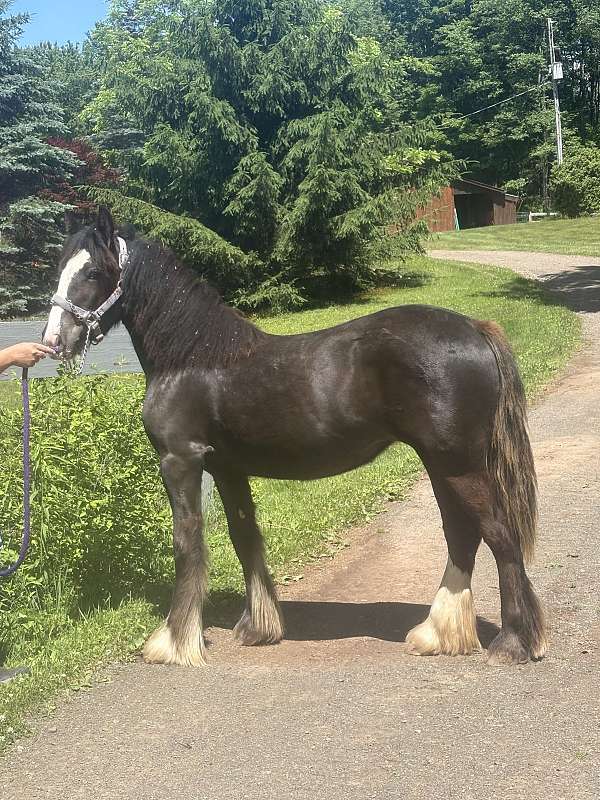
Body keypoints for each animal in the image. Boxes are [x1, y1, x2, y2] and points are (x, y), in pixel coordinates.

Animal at [42, 207, 547, 667]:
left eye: (92, 271)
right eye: (60, 267)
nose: (54, 342)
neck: (193, 359)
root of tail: (475, 329)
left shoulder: (180, 461)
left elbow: (187, 543)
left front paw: (173, 643)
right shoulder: (227, 468)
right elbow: (244, 537)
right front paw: (259, 628)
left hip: (457, 464)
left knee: (499, 535)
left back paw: (513, 643)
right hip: (442, 464)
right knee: (462, 534)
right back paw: (439, 634)